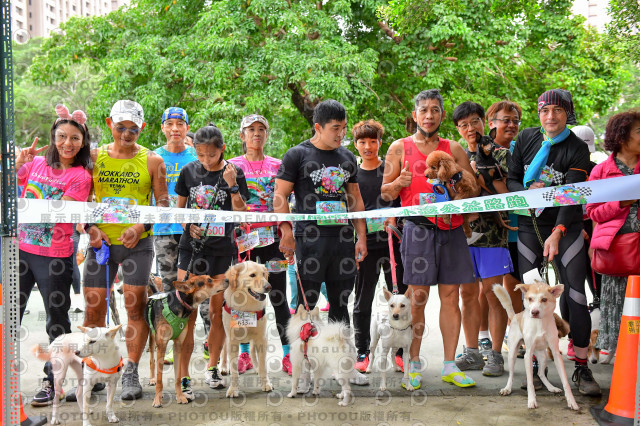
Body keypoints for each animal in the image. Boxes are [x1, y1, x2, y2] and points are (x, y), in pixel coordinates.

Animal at [144, 274, 228, 408]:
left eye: (210, 277)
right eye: (209, 280)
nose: (227, 279)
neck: (179, 305)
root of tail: (156, 292)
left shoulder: (178, 345)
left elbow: (178, 376)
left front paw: (180, 396)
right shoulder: (162, 346)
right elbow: (160, 379)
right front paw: (157, 399)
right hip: (152, 337)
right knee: (152, 360)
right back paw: (152, 379)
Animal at [222, 262, 272, 398]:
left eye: (264, 274)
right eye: (252, 275)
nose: (268, 287)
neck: (246, 307)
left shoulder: (261, 337)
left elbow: (263, 366)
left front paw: (265, 383)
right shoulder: (232, 340)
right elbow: (234, 370)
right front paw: (233, 389)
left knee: (252, 351)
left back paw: (256, 367)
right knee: (223, 350)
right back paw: (223, 367)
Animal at [492, 282, 576, 410]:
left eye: (544, 299)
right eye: (530, 299)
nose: (534, 312)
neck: (540, 323)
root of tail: (516, 315)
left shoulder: (556, 354)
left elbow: (565, 381)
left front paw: (572, 401)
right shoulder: (528, 355)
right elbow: (530, 382)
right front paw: (531, 400)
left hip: (543, 356)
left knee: (541, 373)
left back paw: (551, 387)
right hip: (512, 354)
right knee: (511, 374)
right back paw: (507, 388)